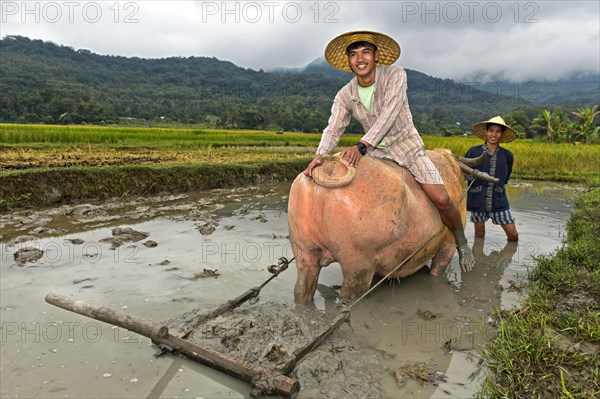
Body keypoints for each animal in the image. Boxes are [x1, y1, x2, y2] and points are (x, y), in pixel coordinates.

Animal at [290, 151, 468, 304]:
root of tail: (328, 166)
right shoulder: (448, 245)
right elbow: (437, 269)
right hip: (358, 263)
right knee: (349, 295)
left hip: (304, 251)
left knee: (302, 287)